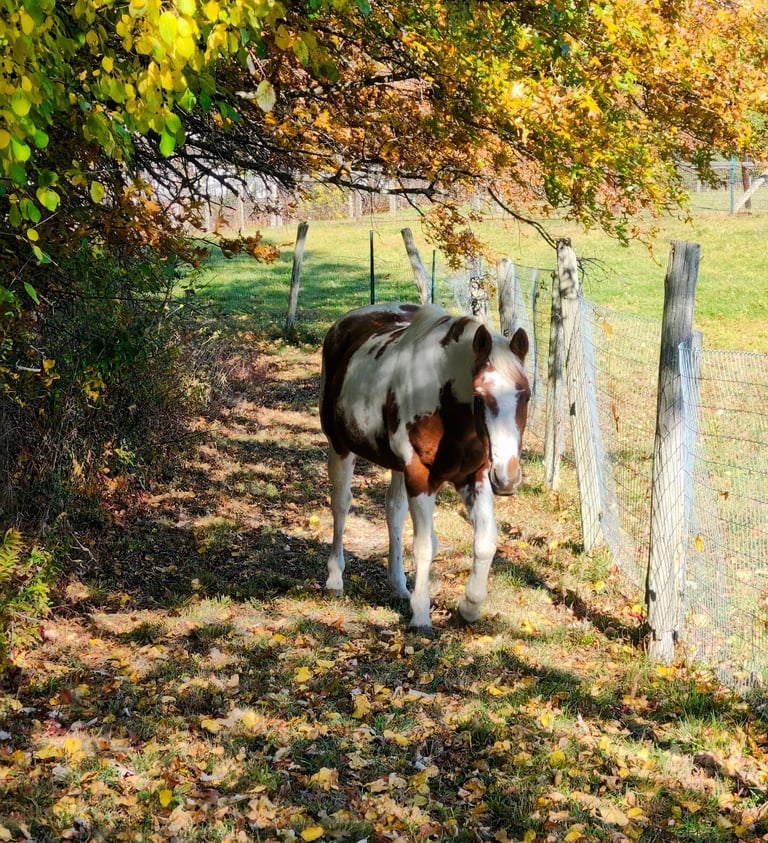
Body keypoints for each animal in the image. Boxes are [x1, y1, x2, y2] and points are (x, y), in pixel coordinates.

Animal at [319, 302, 530, 633]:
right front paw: (420, 615)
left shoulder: (474, 477)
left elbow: (485, 542)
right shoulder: (420, 476)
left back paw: (398, 585)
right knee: (340, 506)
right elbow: (424, 545)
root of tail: (344, 324)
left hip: (396, 466)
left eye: (526, 395)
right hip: (340, 447)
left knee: (393, 511)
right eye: (480, 396)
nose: (507, 478)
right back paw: (335, 579)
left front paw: (469, 607)